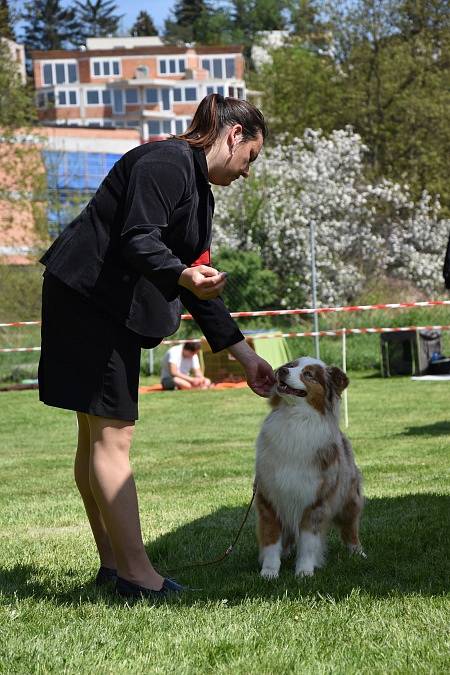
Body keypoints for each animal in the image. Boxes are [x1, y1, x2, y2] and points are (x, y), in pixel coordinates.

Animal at [255, 356, 364, 580]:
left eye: (309, 375)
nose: (282, 370)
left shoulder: (315, 501)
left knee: (350, 526)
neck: (295, 419)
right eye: (291, 365)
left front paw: (304, 572)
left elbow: (308, 542)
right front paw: (269, 571)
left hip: (349, 497)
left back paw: (357, 551)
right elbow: (271, 540)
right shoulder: (269, 498)